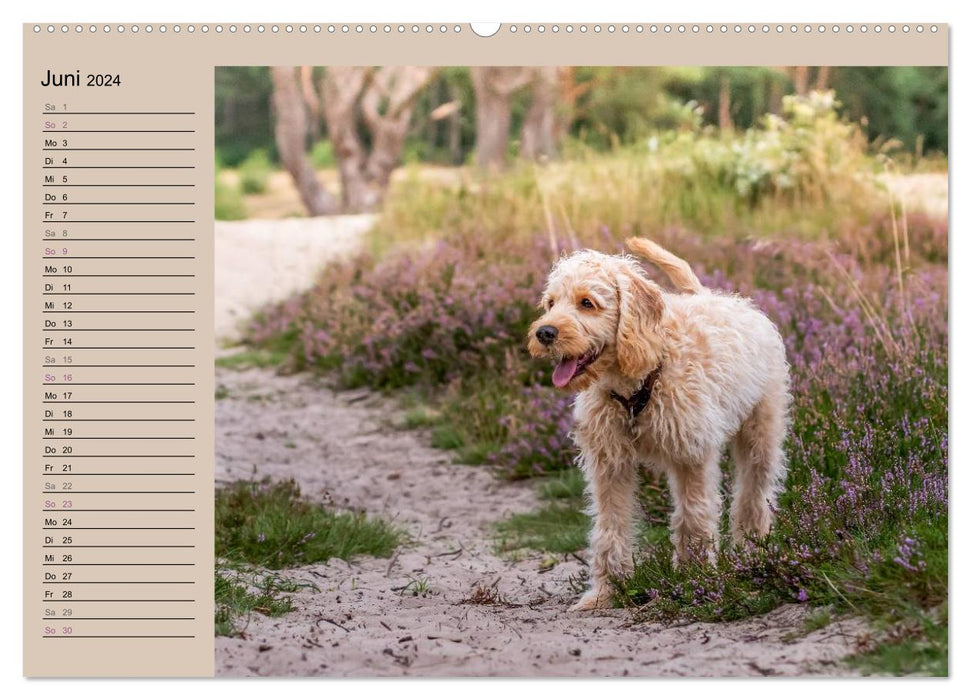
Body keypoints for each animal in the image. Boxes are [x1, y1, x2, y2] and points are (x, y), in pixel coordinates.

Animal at [532, 238, 788, 608]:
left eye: (587, 303)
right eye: (550, 303)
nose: (544, 332)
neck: (637, 384)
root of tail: (717, 296)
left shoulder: (691, 455)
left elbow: (693, 517)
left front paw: (696, 578)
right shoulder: (609, 463)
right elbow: (610, 525)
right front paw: (608, 590)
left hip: (761, 434)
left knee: (754, 495)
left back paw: (753, 550)